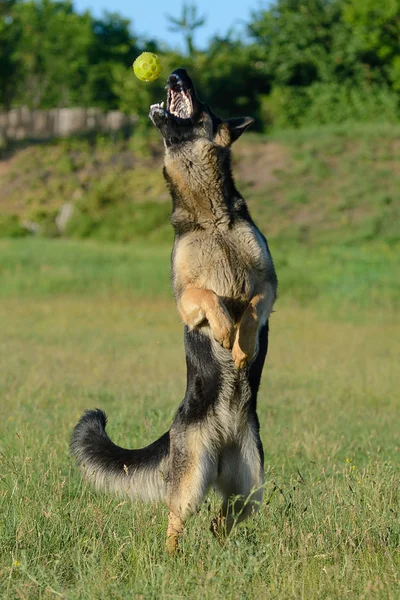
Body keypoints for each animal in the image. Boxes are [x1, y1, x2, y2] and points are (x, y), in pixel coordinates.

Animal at [70, 69, 276, 552]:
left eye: (202, 100)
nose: (177, 72)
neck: (210, 219)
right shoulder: (184, 297)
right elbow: (209, 298)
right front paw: (225, 332)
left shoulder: (269, 285)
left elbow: (252, 307)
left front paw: (242, 343)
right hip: (190, 479)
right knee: (175, 520)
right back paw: (172, 557)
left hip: (251, 488)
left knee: (225, 516)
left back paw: (218, 538)